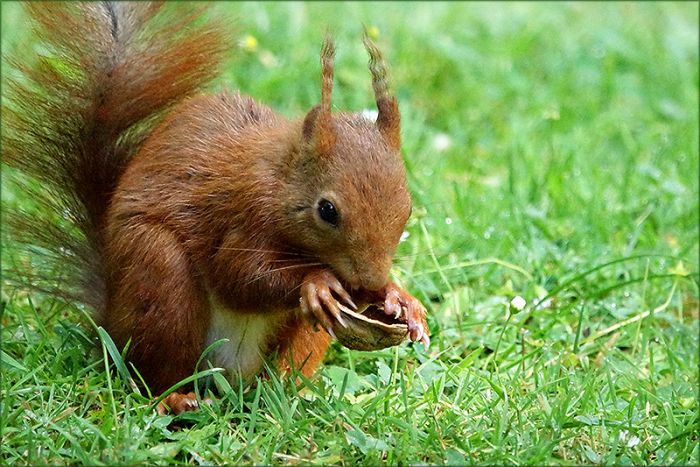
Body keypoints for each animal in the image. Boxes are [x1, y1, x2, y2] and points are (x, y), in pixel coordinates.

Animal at [3, 2, 429, 414]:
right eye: (327, 210)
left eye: (407, 208)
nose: (370, 282)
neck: (279, 178)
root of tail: (109, 320)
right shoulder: (245, 212)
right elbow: (237, 275)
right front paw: (317, 282)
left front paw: (400, 299)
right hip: (158, 274)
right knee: (156, 364)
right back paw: (176, 398)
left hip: (296, 340)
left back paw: (287, 396)